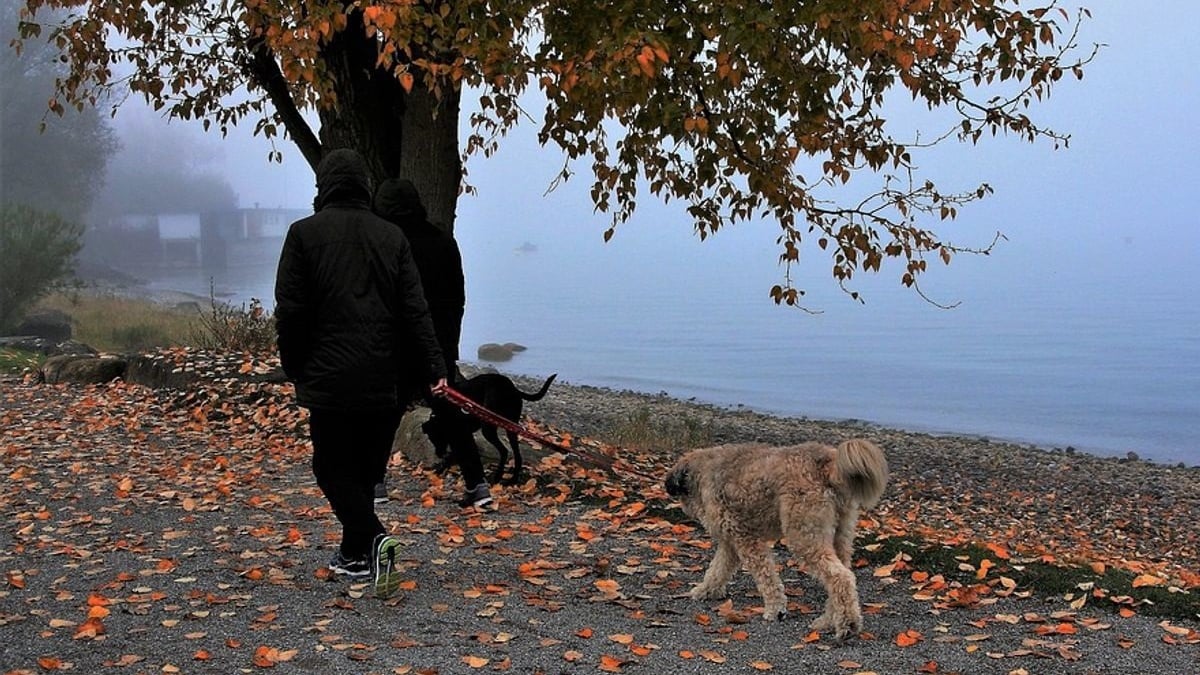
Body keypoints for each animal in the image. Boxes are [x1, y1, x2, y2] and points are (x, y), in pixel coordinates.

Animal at [422, 372, 556, 482]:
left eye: (434, 438)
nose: (439, 454)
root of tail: (512, 389)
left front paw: (440, 468)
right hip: (510, 426)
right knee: (517, 455)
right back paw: (513, 479)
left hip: (488, 428)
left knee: (504, 451)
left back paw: (497, 477)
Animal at [667, 439, 892, 638]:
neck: (703, 471)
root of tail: (827, 463)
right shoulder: (730, 544)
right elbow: (717, 570)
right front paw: (706, 590)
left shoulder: (745, 539)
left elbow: (766, 577)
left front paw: (776, 610)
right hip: (840, 535)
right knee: (843, 577)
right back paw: (829, 621)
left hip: (804, 536)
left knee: (840, 577)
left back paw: (847, 625)